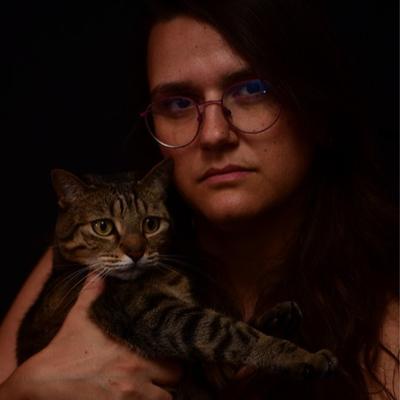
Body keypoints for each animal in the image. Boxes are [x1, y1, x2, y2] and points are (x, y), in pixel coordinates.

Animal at [17, 159, 337, 399]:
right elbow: (231, 333)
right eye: (103, 227)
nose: (136, 252)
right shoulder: (154, 314)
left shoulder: (205, 373)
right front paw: (304, 357)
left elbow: (232, 342)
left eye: (151, 224)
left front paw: (276, 318)